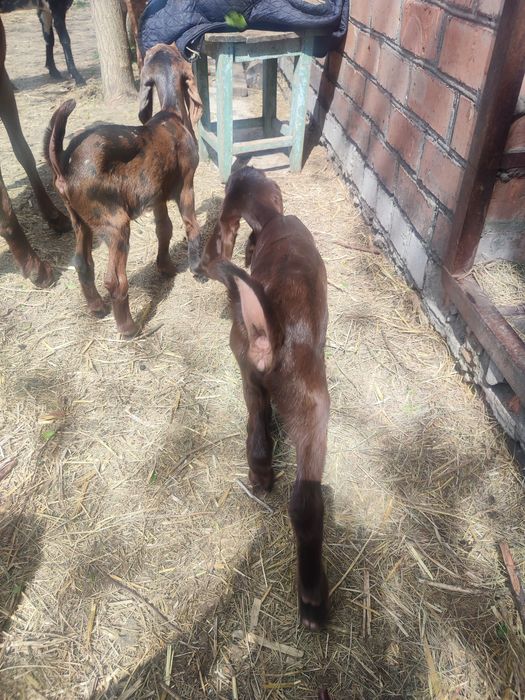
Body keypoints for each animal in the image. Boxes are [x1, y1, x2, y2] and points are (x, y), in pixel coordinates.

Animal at [45, 43, 203, 336]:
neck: (171, 114)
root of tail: (64, 166)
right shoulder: (186, 187)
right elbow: (191, 226)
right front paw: (197, 270)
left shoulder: (157, 196)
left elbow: (164, 230)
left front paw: (165, 267)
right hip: (116, 224)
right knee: (114, 280)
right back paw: (129, 328)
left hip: (80, 221)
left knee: (83, 263)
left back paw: (97, 308)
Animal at [199, 167, 330, 630]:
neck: (274, 220)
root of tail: (269, 339)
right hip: (312, 410)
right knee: (305, 503)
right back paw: (313, 599)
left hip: (253, 379)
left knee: (257, 428)